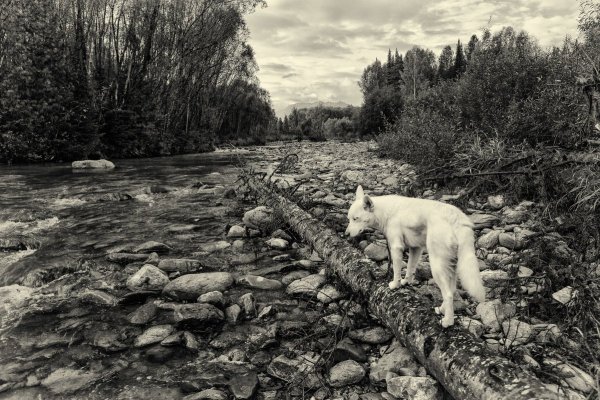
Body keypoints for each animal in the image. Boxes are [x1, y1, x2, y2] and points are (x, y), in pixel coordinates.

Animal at [344, 186, 486, 326]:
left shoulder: (396, 247)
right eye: (349, 219)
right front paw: (406, 282)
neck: (385, 212)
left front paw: (395, 285)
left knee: (448, 294)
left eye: (356, 219)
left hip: (437, 266)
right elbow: (410, 268)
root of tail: (457, 219)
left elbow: (396, 270)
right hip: (451, 266)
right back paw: (442, 310)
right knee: (452, 290)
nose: (346, 234)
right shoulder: (416, 248)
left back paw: (447, 322)